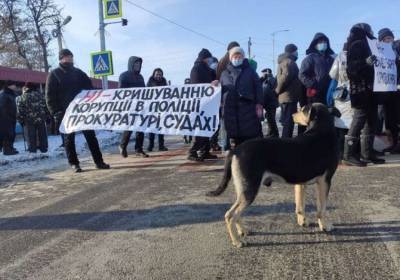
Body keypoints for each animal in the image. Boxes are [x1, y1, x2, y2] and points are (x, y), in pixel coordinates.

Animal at [206, 102, 340, 247]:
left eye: (302, 110)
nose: (292, 115)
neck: (320, 129)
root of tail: (235, 150)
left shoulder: (301, 183)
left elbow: (300, 205)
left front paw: (303, 221)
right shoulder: (325, 181)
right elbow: (322, 208)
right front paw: (325, 226)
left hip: (243, 188)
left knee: (236, 213)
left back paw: (243, 231)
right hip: (250, 189)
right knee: (230, 215)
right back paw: (237, 241)